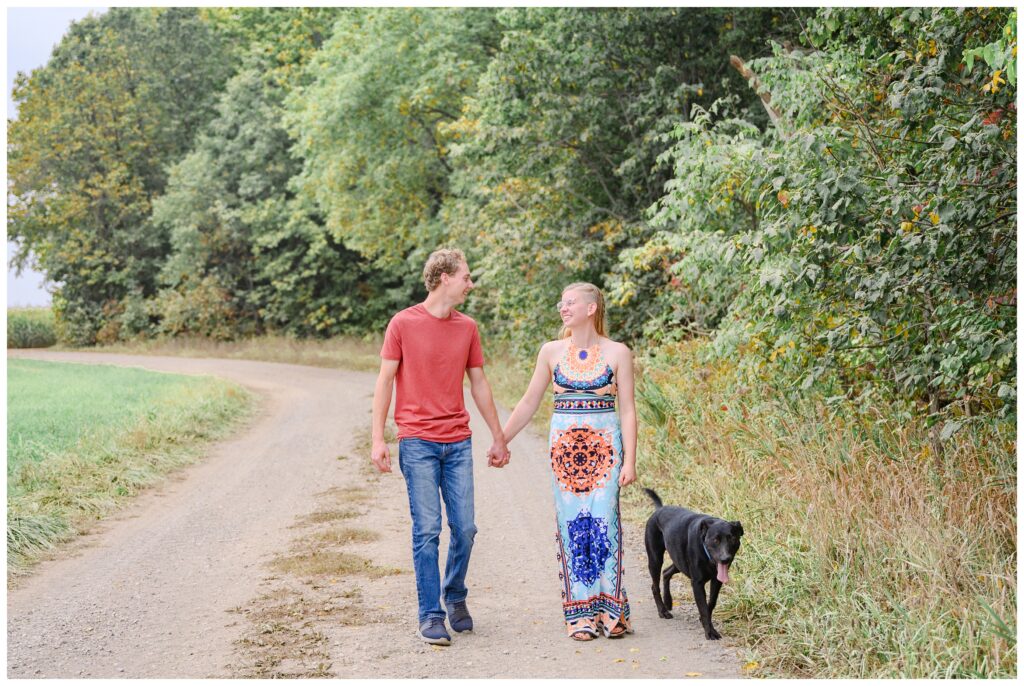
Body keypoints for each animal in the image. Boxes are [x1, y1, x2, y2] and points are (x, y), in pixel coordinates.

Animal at [643, 489, 749, 638]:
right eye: (715, 540)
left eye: (733, 538)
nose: (725, 559)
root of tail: (659, 509)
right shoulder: (697, 583)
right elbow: (703, 607)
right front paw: (710, 632)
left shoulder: (716, 581)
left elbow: (711, 602)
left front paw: (704, 621)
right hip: (655, 559)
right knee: (654, 586)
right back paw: (663, 611)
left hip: (679, 562)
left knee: (666, 572)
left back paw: (668, 601)